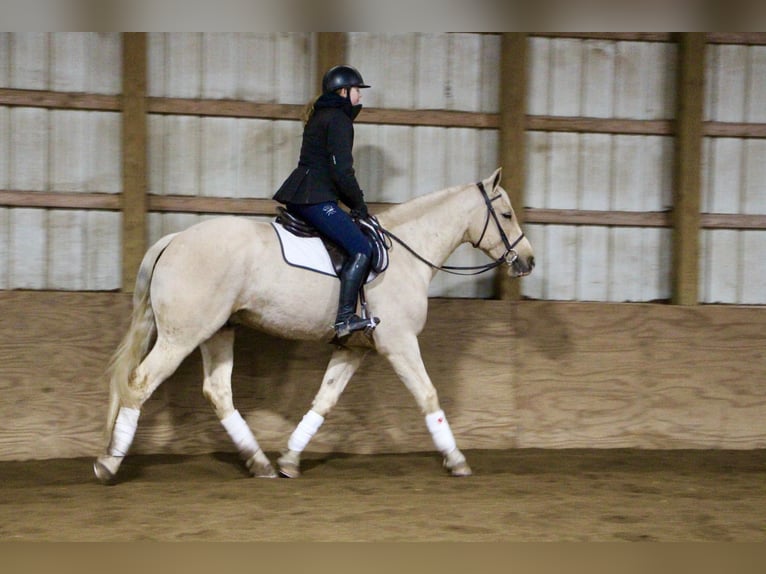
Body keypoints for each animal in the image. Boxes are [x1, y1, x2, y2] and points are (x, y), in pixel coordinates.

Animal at [94, 169, 536, 484]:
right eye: (507, 214)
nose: (528, 261)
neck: (407, 252)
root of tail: (176, 239)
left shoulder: (353, 348)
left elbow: (324, 400)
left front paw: (289, 459)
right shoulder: (400, 343)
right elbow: (428, 395)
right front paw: (456, 459)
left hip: (217, 332)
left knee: (217, 392)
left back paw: (260, 463)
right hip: (180, 337)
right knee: (140, 383)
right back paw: (109, 464)